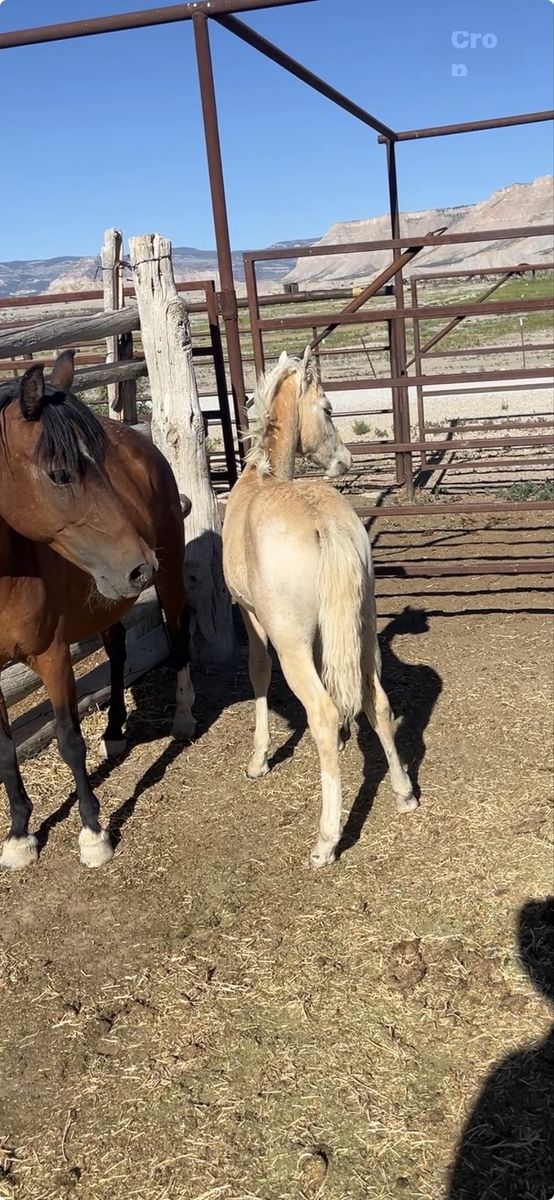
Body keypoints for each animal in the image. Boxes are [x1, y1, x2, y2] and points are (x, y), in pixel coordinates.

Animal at [0, 352, 195, 870]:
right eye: (59, 474)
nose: (139, 566)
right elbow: (5, 751)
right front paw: (19, 836)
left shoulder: (52, 656)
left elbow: (69, 740)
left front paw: (92, 832)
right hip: (109, 598)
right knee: (118, 648)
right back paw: (114, 730)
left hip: (168, 575)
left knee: (178, 634)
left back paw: (184, 717)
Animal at [222, 348, 418, 868]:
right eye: (329, 409)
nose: (344, 461)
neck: (262, 478)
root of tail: (324, 522)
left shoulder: (252, 618)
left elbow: (258, 673)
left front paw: (259, 760)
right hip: (362, 628)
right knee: (378, 700)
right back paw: (404, 792)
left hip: (290, 643)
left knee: (323, 716)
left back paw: (327, 840)